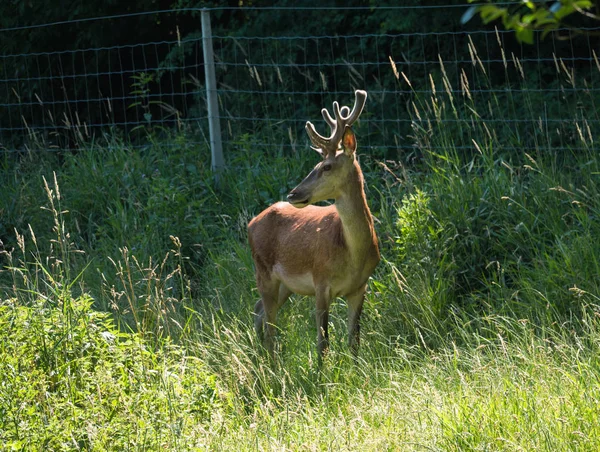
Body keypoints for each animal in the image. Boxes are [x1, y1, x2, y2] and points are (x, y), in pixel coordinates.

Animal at [246, 90, 378, 362]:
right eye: (315, 165)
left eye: (326, 166)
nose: (293, 193)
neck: (354, 254)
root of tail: (251, 223)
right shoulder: (321, 281)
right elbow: (323, 343)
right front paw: (320, 372)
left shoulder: (360, 287)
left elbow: (355, 340)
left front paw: (357, 369)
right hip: (262, 270)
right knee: (268, 322)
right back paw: (270, 363)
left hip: (285, 284)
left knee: (259, 311)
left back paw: (260, 357)